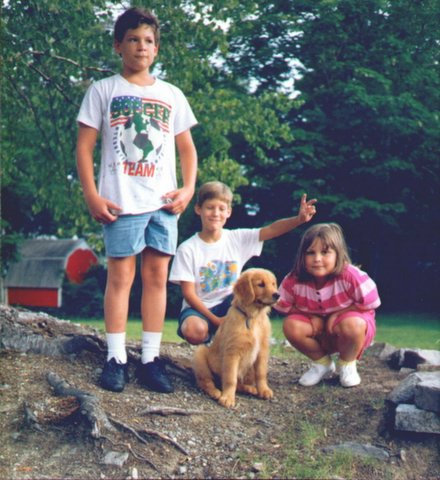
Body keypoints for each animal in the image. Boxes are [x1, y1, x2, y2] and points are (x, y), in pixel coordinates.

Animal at [192, 268, 278, 406]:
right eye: (261, 284)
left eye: (273, 284)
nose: (277, 295)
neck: (252, 317)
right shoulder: (232, 352)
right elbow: (230, 378)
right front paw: (227, 398)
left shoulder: (262, 351)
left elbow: (261, 373)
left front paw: (264, 390)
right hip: (200, 354)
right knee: (205, 382)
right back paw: (215, 392)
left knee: (240, 384)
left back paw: (250, 388)